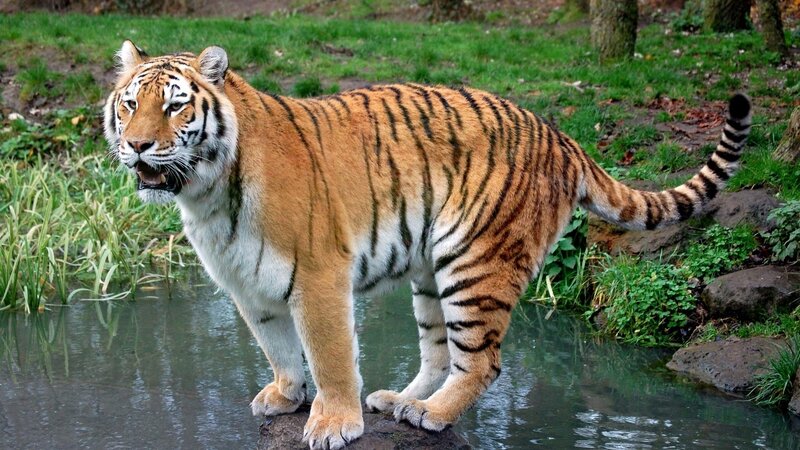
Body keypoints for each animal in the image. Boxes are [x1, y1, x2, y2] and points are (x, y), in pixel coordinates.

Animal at [104, 40, 752, 449]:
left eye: (176, 105)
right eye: (130, 104)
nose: (136, 146)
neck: (206, 193)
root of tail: (561, 135)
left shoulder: (318, 275)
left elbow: (329, 354)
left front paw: (333, 423)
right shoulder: (246, 284)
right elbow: (279, 348)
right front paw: (286, 396)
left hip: (476, 261)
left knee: (483, 361)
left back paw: (431, 415)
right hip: (430, 270)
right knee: (440, 352)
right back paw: (399, 401)